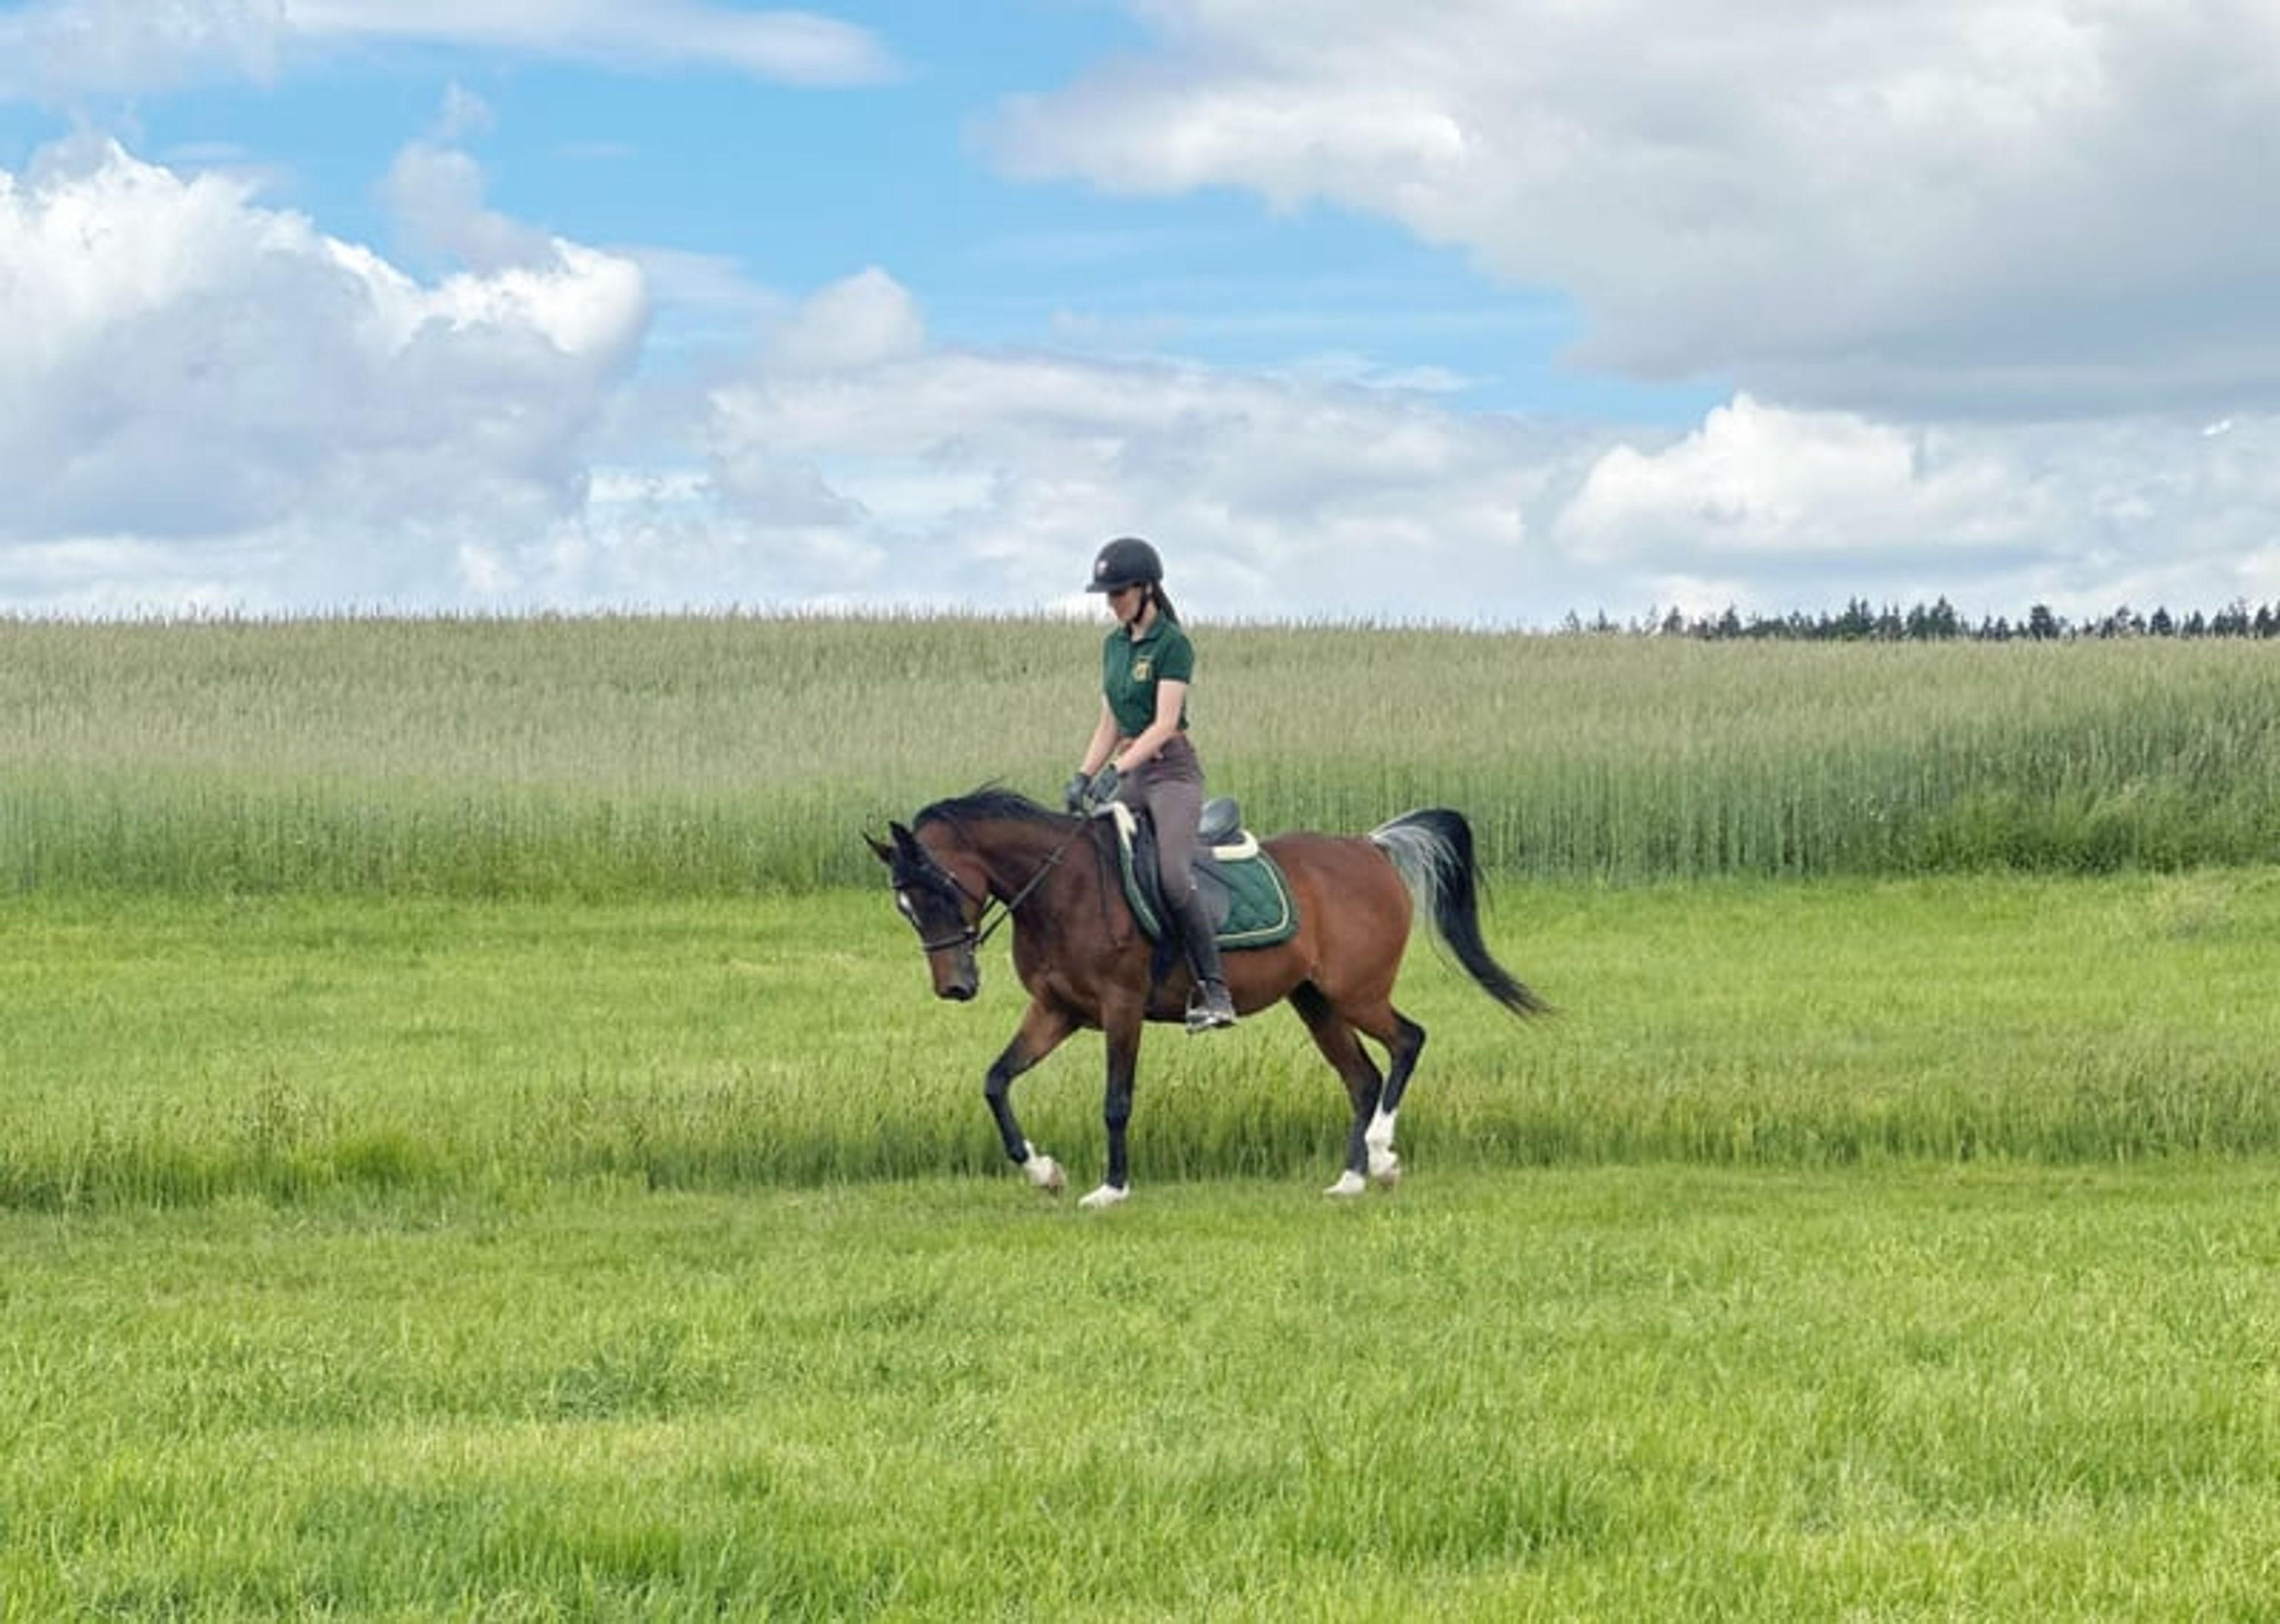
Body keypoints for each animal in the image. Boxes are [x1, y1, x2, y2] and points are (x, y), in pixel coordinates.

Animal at [868, 788, 1549, 1206]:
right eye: (904, 906)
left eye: (939, 890)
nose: (955, 986)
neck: (1063, 887)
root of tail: (1370, 846)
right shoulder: (1057, 1011)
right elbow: (996, 1081)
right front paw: (1043, 1171)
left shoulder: (1121, 1007)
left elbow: (1116, 1101)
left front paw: (1111, 1190)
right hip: (1315, 1001)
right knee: (1362, 1077)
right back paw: (1350, 1181)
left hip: (1356, 990)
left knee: (1408, 1041)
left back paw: (1382, 1158)